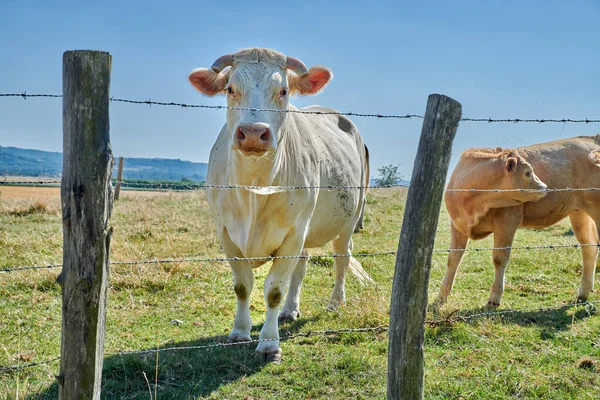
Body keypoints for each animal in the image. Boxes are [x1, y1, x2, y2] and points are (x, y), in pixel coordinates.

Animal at [190, 47, 372, 362]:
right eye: (230, 88)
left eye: (283, 90)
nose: (253, 132)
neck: (254, 190)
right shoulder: (226, 233)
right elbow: (242, 286)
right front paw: (239, 331)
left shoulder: (293, 234)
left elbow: (273, 290)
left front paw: (269, 344)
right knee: (302, 265)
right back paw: (289, 310)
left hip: (347, 221)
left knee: (341, 259)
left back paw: (336, 303)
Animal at [436, 134, 600, 306]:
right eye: (528, 173)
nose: (545, 187)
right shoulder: (457, 224)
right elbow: (453, 258)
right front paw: (441, 296)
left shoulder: (507, 222)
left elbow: (499, 258)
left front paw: (494, 298)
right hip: (579, 213)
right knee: (589, 247)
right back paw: (583, 294)